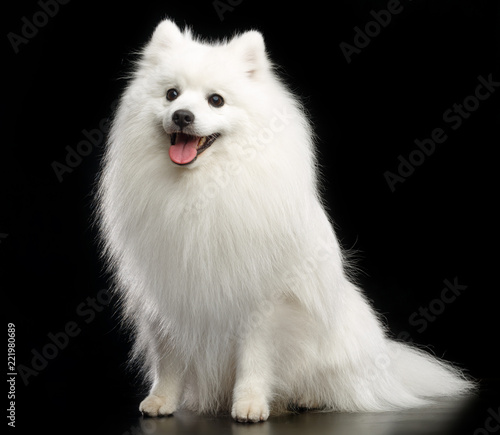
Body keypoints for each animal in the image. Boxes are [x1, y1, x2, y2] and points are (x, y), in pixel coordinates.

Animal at [96, 17, 472, 422]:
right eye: (171, 94)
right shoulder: (167, 296)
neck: (202, 190)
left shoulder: (261, 302)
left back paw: (305, 399)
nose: (182, 115)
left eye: (216, 100)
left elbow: (254, 360)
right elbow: (170, 359)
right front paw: (161, 400)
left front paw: (249, 404)